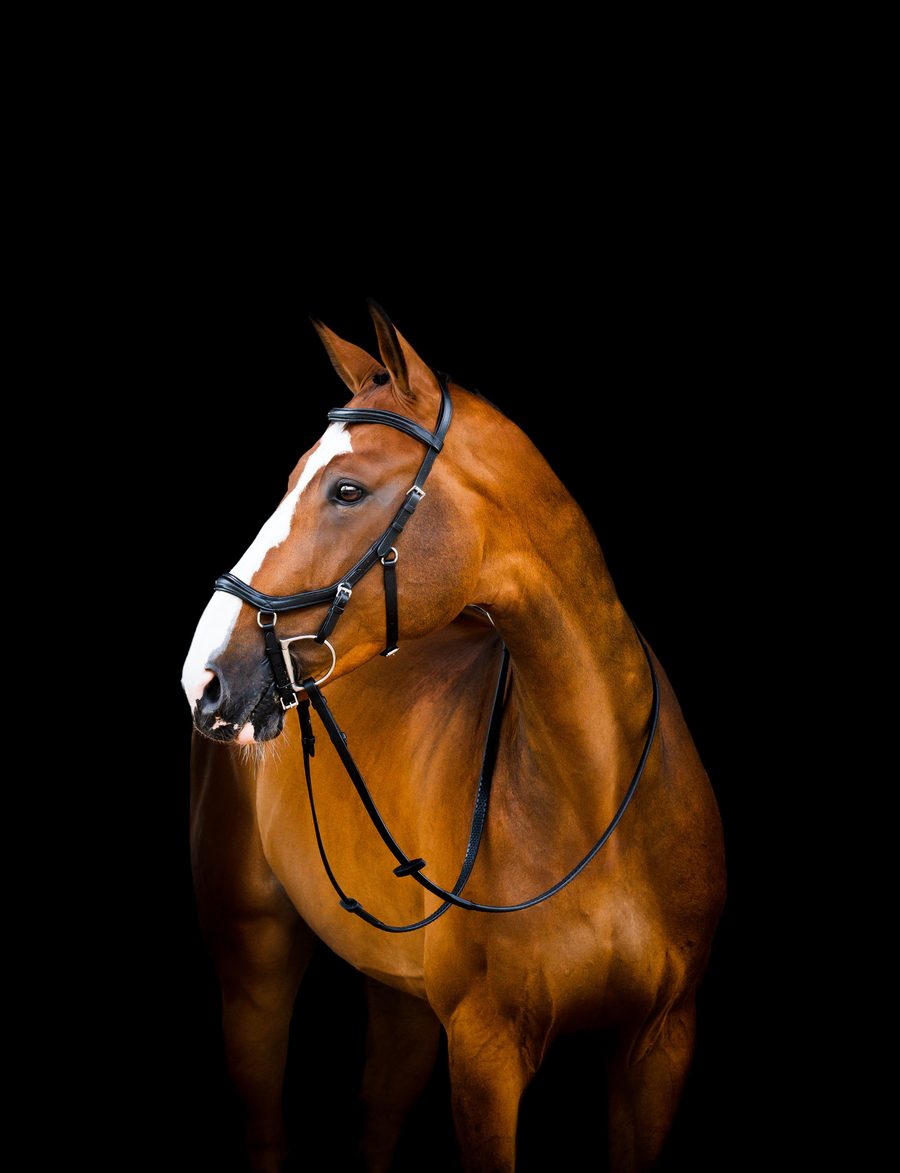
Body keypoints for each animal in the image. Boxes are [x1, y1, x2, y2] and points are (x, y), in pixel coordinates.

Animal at [182, 303, 726, 1172]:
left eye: (345, 488)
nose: (203, 677)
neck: (595, 793)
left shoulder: (660, 1045)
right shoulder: (484, 1054)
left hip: (398, 992)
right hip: (255, 962)